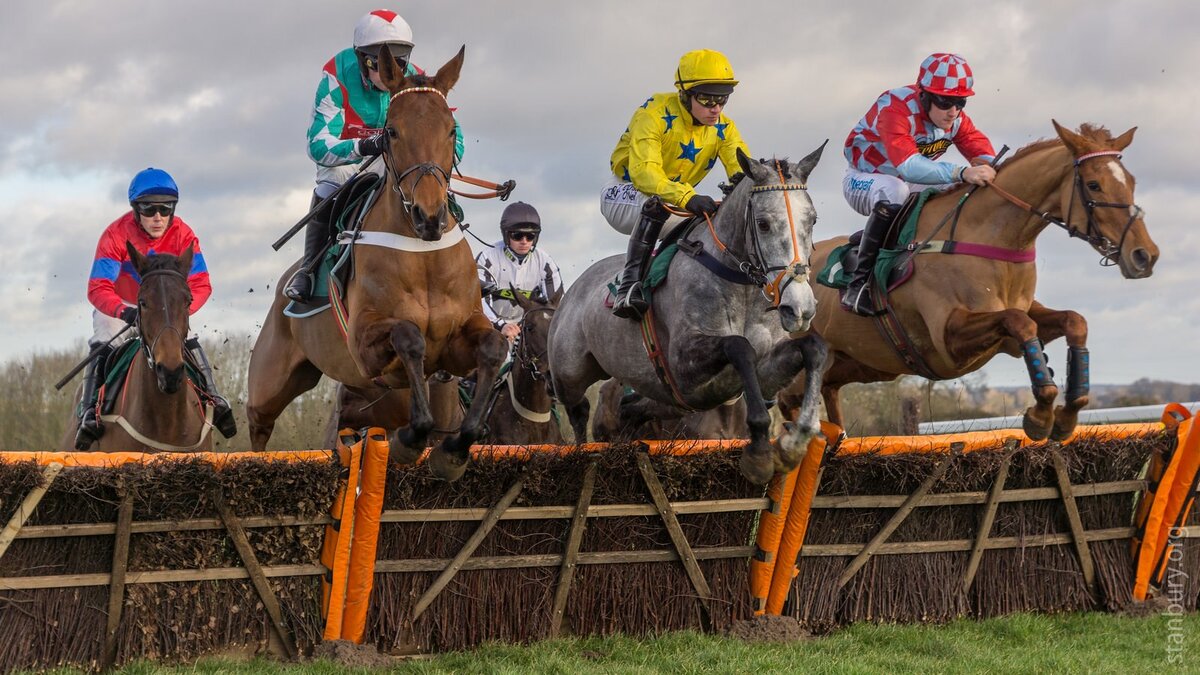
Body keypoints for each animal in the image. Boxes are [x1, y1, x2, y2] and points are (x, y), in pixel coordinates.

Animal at [243, 47, 506, 478]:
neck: (423, 255)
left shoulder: (455, 344)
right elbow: (409, 337)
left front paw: (454, 449)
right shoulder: (364, 345)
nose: (429, 217)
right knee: (259, 426)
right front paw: (409, 441)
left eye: (452, 130)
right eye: (392, 131)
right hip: (270, 382)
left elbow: (493, 348)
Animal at [549, 147, 830, 482]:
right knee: (577, 410)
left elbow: (813, 347)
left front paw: (797, 439)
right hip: (569, 373)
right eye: (763, 224)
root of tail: (573, 289)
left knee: (630, 408)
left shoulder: (760, 371)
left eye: (812, 220)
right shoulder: (683, 365)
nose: (799, 308)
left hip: (663, 399)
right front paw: (760, 453)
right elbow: (739, 346)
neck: (742, 288)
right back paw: (578, 453)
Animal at [782, 119, 1156, 441]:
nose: (1145, 255)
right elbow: (1021, 323)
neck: (990, 238)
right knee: (787, 402)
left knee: (825, 395)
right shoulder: (949, 338)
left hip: (855, 365)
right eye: (1094, 185)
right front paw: (1040, 415)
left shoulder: (1010, 328)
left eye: (1132, 182)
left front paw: (1066, 414)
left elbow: (1072, 321)